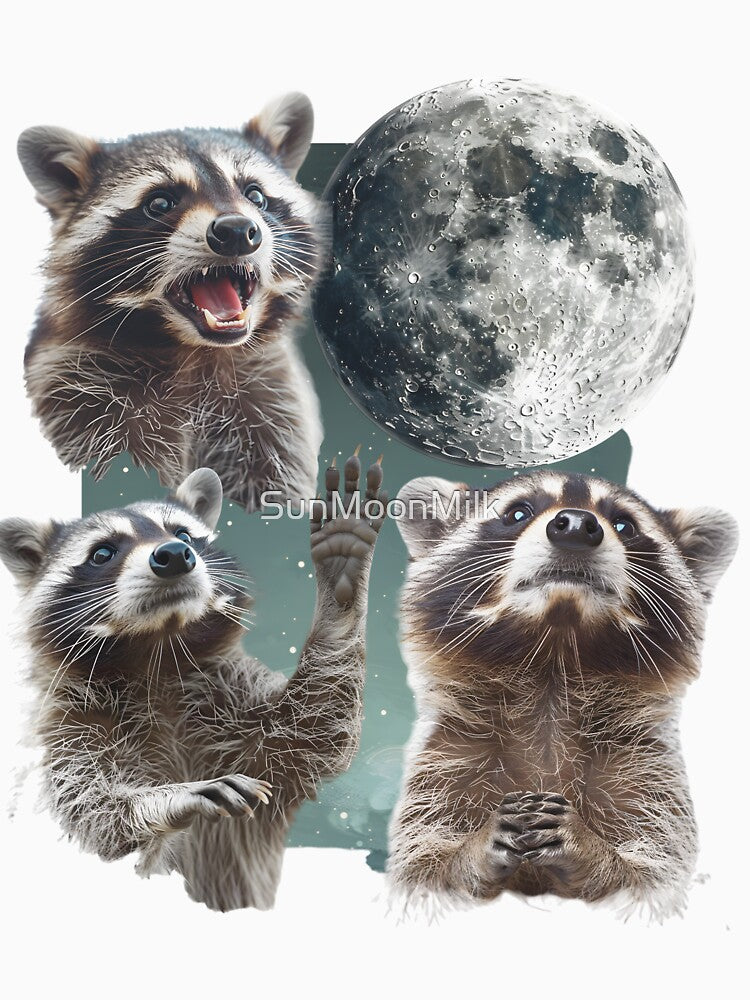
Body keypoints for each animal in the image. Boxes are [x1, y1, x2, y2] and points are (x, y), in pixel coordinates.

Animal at [0, 453, 386, 910]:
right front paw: (168, 799)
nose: (173, 554)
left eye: (183, 533)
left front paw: (340, 586)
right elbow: (91, 816)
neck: (156, 653)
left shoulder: (225, 690)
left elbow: (314, 730)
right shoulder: (66, 720)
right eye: (103, 552)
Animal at [18, 93, 325, 510]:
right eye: (160, 203)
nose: (237, 231)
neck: (194, 353)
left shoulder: (272, 407)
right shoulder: (74, 389)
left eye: (255, 195)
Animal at [387, 472, 737, 918]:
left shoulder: (646, 769)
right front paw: (470, 852)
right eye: (518, 512)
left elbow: (651, 881)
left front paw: (595, 854)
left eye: (624, 524)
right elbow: (423, 874)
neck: (555, 663)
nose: (574, 525)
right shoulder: (449, 756)